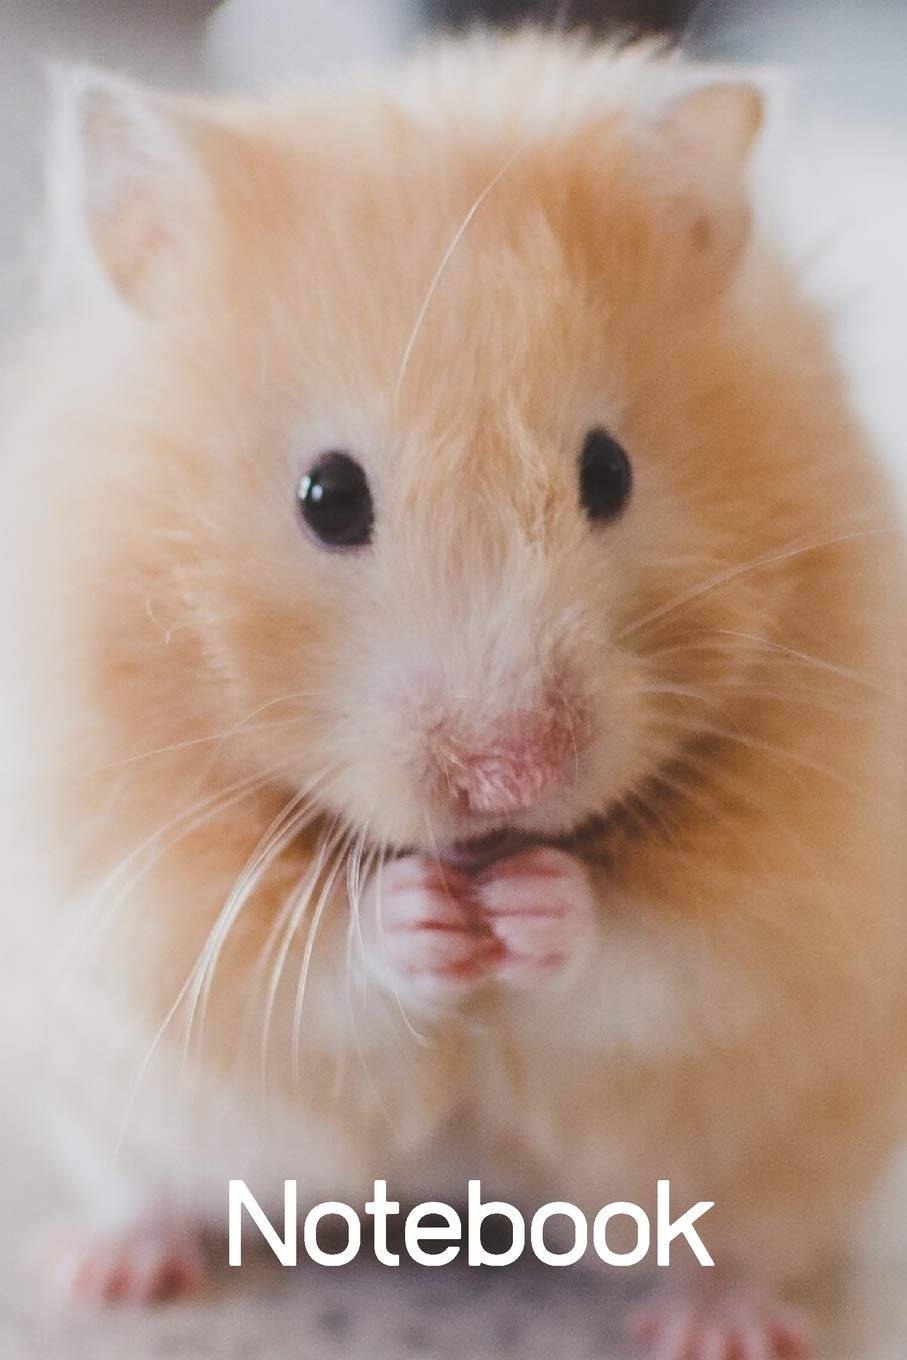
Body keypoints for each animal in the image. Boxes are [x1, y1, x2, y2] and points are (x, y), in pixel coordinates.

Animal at [1, 29, 906, 1359]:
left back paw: (717, 1324)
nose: (509, 775)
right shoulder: (129, 875)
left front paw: (533, 905)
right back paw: (106, 1268)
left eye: (608, 471)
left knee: (746, 1238)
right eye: (328, 496)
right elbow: (303, 958)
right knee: (151, 1185)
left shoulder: (795, 884)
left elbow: (656, 951)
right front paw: (423, 918)